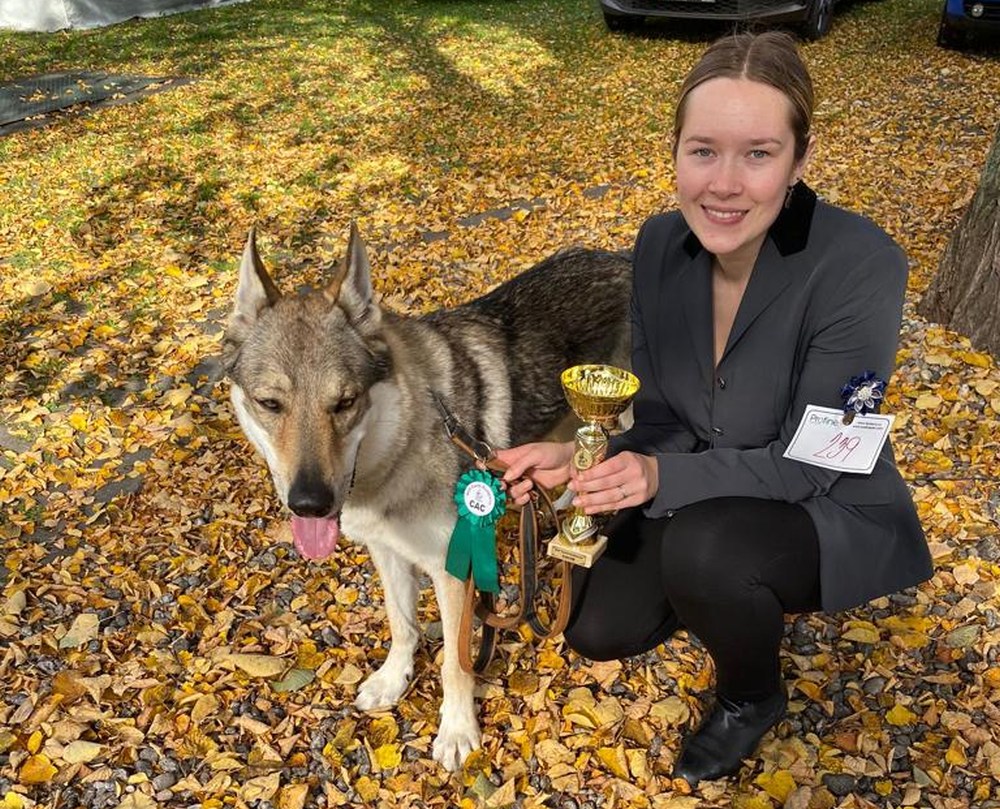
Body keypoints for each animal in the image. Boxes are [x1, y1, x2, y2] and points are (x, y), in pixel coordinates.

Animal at [223, 224, 628, 768]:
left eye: (345, 402)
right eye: (270, 404)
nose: (309, 503)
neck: (398, 451)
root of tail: (623, 256)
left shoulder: (451, 569)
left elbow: (455, 664)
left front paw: (457, 731)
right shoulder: (389, 553)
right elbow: (402, 626)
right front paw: (393, 681)